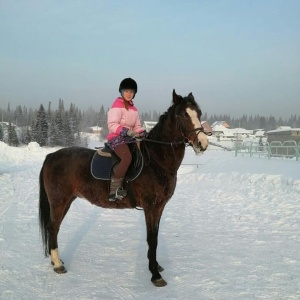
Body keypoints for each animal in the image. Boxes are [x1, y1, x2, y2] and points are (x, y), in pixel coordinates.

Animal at [39, 90, 209, 288]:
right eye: (183, 115)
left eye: (199, 113)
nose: (202, 143)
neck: (156, 160)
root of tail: (51, 156)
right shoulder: (150, 206)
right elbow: (151, 238)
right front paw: (155, 275)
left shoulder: (159, 206)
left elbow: (155, 236)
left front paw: (156, 266)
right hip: (59, 201)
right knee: (53, 227)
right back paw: (58, 264)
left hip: (66, 201)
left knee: (54, 228)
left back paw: (56, 260)